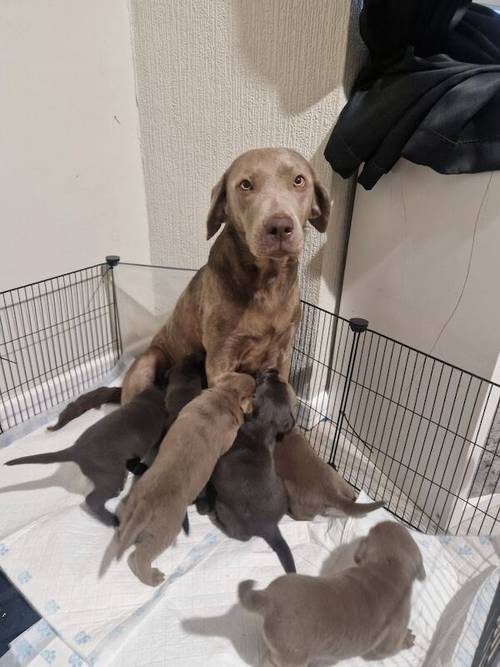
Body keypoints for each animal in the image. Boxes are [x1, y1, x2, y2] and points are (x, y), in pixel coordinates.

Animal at [114, 374, 254, 588]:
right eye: (255, 393)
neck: (223, 396)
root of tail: (143, 508)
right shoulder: (228, 437)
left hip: (129, 508)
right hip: (165, 532)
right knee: (140, 556)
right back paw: (153, 578)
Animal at [201, 370, 298, 576]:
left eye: (263, 381)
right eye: (276, 381)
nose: (272, 371)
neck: (260, 431)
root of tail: (270, 528)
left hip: (224, 507)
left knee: (239, 535)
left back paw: (215, 520)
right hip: (282, 489)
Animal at [240, 520, 424, 667]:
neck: (387, 569)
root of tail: (268, 599)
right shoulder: (395, 628)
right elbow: (390, 648)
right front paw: (408, 638)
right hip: (292, 657)